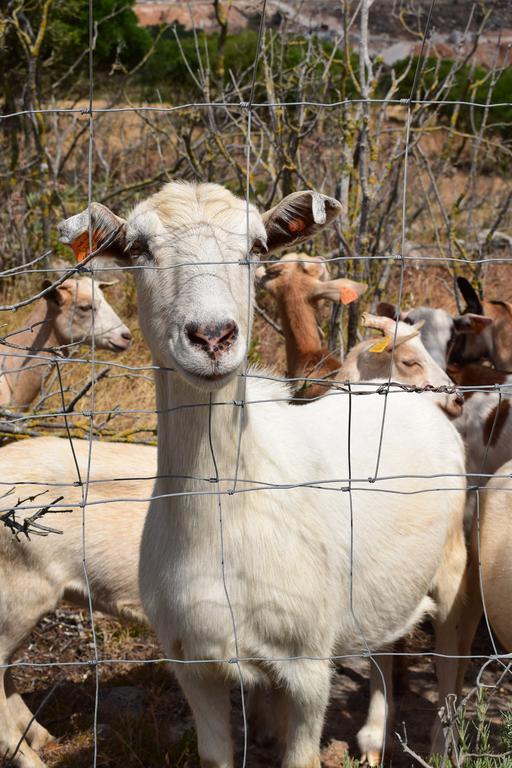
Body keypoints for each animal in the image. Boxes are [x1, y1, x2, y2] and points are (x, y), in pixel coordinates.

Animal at [58, 184, 466, 768]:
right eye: (138, 249)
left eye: (255, 246)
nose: (212, 337)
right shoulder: (192, 663)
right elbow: (215, 754)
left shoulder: (307, 664)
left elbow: (302, 754)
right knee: (387, 640)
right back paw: (372, 738)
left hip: (454, 566)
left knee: (451, 661)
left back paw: (442, 745)